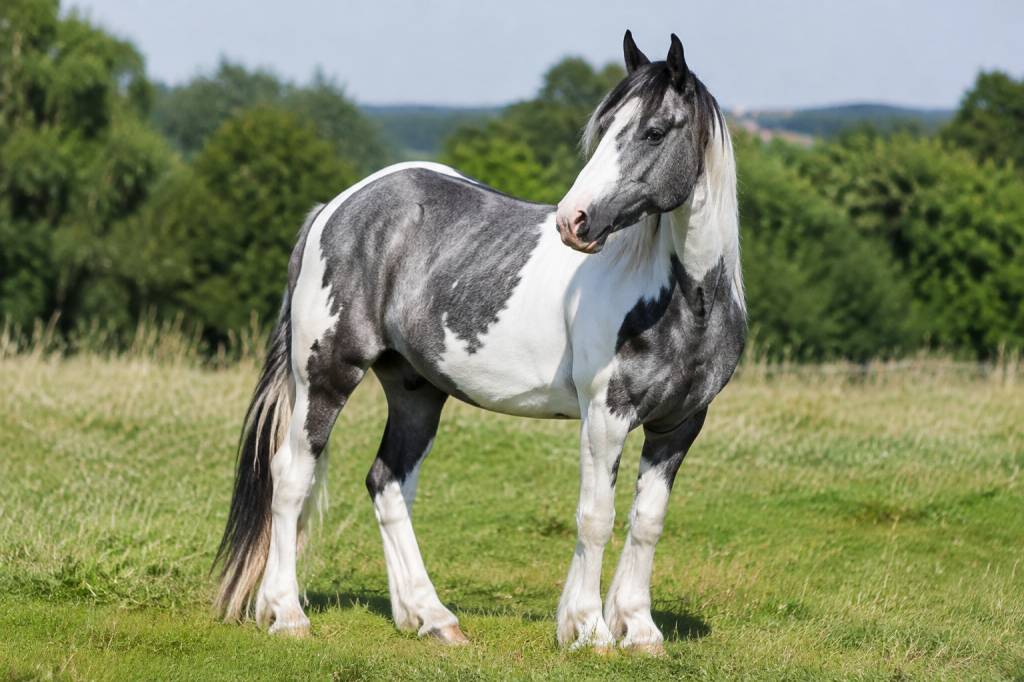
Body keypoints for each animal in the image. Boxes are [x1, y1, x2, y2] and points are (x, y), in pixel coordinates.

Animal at [214, 30, 745, 654]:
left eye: (655, 131)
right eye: (606, 125)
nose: (573, 221)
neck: (682, 302)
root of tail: (336, 207)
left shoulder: (680, 424)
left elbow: (647, 521)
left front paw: (638, 628)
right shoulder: (606, 415)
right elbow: (596, 517)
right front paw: (588, 629)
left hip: (416, 390)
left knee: (387, 482)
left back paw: (429, 617)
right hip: (325, 376)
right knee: (292, 477)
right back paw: (286, 613)